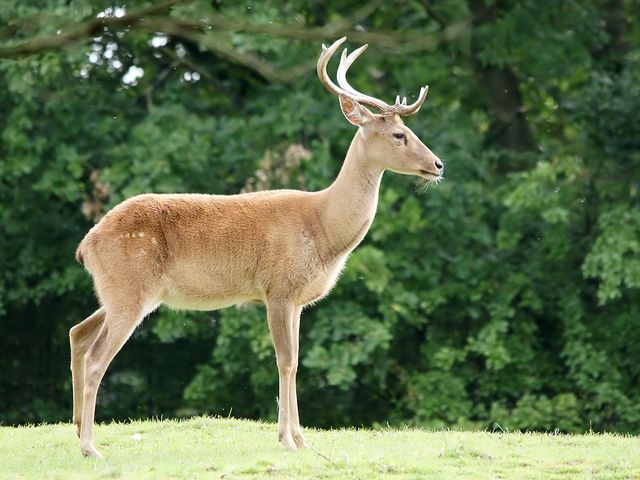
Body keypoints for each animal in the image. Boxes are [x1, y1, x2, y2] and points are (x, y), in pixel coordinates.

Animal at [69, 36, 440, 458]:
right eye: (398, 135)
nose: (438, 164)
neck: (323, 229)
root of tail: (86, 245)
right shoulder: (278, 287)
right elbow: (286, 361)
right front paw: (288, 440)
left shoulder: (298, 300)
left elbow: (296, 361)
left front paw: (302, 438)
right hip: (130, 287)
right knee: (97, 357)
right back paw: (90, 447)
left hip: (118, 291)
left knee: (77, 333)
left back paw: (77, 428)